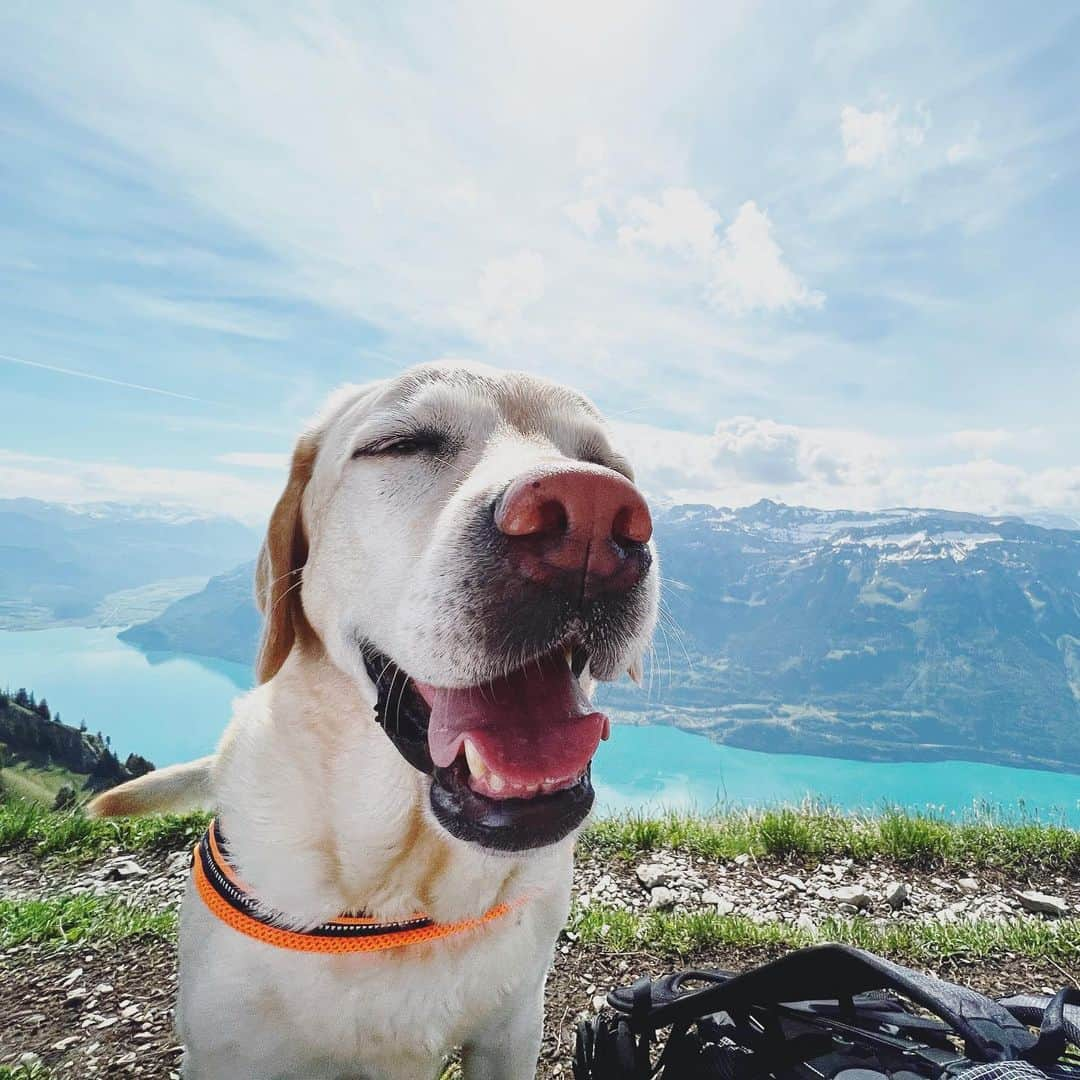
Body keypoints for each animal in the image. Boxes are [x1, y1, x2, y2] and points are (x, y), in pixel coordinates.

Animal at [90, 365, 656, 1080]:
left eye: (607, 465)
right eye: (403, 443)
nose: (591, 510)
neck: (398, 890)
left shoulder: (512, 1026)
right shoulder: (224, 1053)